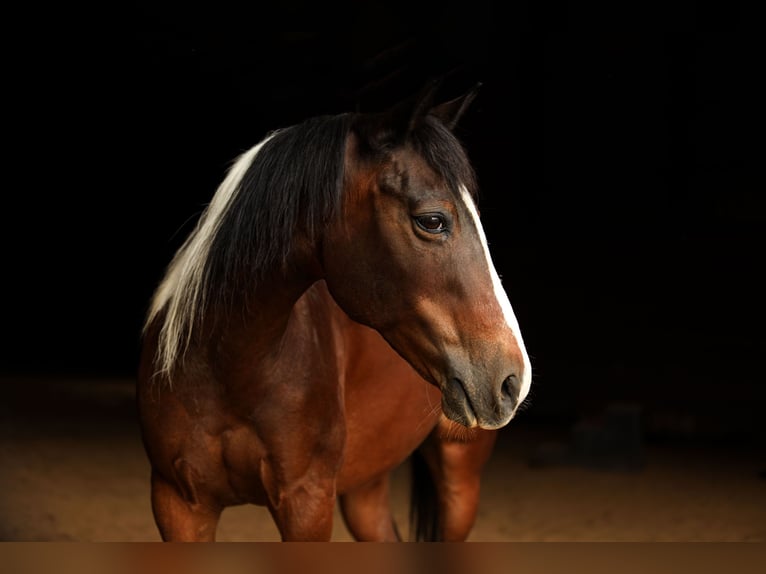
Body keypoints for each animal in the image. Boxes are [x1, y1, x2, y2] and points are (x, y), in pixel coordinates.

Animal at [137, 81, 532, 541]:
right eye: (432, 220)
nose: (513, 379)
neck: (228, 367)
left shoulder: (307, 504)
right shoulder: (178, 505)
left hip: (459, 474)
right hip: (366, 484)